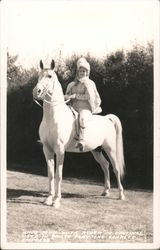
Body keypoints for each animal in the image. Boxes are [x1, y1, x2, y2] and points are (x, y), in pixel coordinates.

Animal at [32, 59, 125, 208]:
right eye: (38, 76)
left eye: (50, 76)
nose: (36, 91)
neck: (53, 117)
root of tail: (107, 119)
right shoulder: (47, 149)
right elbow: (50, 174)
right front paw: (48, 198)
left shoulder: (60, 150)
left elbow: (58, 174)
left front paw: (56, 200)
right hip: (96, 150)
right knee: (105, 165)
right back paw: (105, 191)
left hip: (110, 149)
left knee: (116, 168)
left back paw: (121, 195)